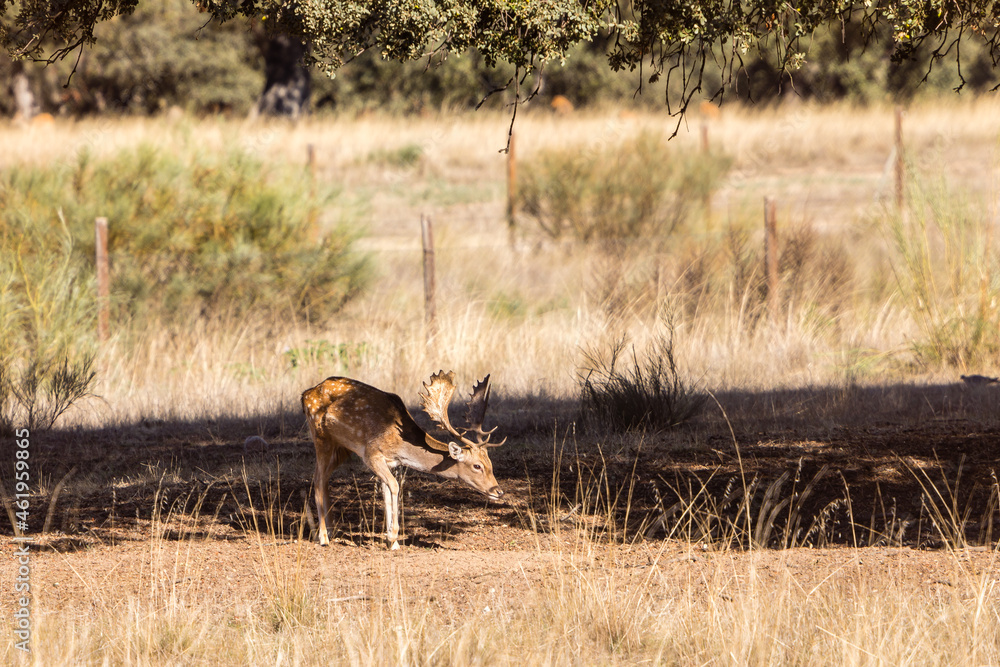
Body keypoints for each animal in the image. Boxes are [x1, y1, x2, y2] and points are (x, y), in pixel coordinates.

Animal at [301, 370, 506, 550]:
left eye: (491, 464)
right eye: (477, 466)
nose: (499, 491)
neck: (400, 444)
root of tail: (305, 394)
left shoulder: (391, 463)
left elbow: (387, 491)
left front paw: (392, 543)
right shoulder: (371, 454)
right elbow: (395, 486)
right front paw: (393, 536)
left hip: (340, 449)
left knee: (324, 480)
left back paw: (332, 529)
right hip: (321, 436)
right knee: (317, 479)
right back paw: (323, 537)